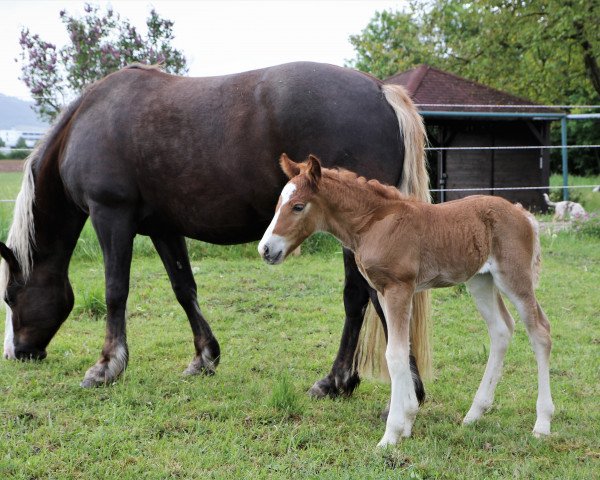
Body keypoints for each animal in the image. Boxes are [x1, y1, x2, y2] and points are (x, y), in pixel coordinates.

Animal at [260, 153, 556, 446]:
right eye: (277, 204)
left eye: (298, 206)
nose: (265, 249)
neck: (373, 223)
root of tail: (522, 213)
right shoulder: (382, 291)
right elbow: (399, 348)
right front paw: (408, 419)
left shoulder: (398, 288)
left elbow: (395, 354)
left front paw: (391, 434)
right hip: (480, 281)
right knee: (501, 330)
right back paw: (474, 414)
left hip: (513, 277)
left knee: (540, 331)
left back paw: (542, 423)